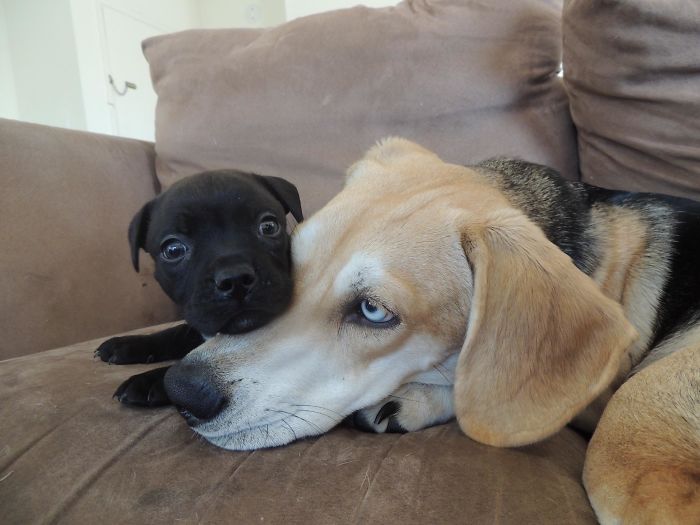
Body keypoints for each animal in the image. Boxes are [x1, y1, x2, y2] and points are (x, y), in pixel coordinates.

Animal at [94, 170, 302, 408]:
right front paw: (129, 343)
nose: (235, 279)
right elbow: (176, 333)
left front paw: (150, 380)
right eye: (173, 250)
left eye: (268, 227)